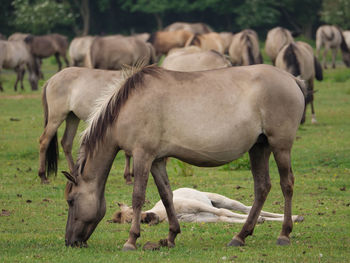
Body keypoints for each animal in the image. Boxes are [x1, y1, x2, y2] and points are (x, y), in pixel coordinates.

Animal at [63, 63, 306, 251]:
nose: (69, 241)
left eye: (71, 200)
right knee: (262, 188)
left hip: (280, 146)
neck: (129, 105)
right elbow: (167, 195)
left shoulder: (143, 156)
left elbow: (138, 196)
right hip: (259, 147)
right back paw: (240, 236)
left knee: (287, 184)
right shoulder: (156, 160)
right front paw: (171, 236)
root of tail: (292, 79)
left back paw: (284, 234)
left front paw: (131, 240)